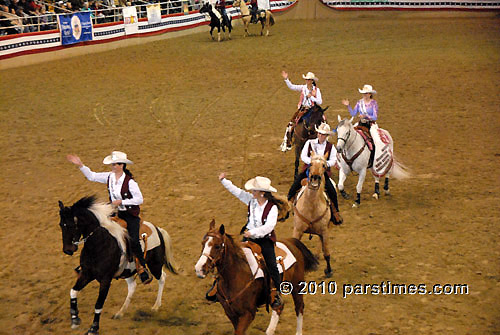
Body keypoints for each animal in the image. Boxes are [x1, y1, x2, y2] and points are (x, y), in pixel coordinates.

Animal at [58, 197, 178, 335]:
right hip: (128, 271)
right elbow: (73, 291)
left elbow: (98, 304)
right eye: (61, 225)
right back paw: (120, 312)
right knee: (132, 286)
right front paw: (75, 319)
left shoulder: (105, 280)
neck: (99, 244)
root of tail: (158, 229)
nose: (68, 250)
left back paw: (155, 306)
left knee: (162, 277)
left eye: (72, 225)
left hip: (155, 264)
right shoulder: (86, 274)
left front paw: (93, 328)